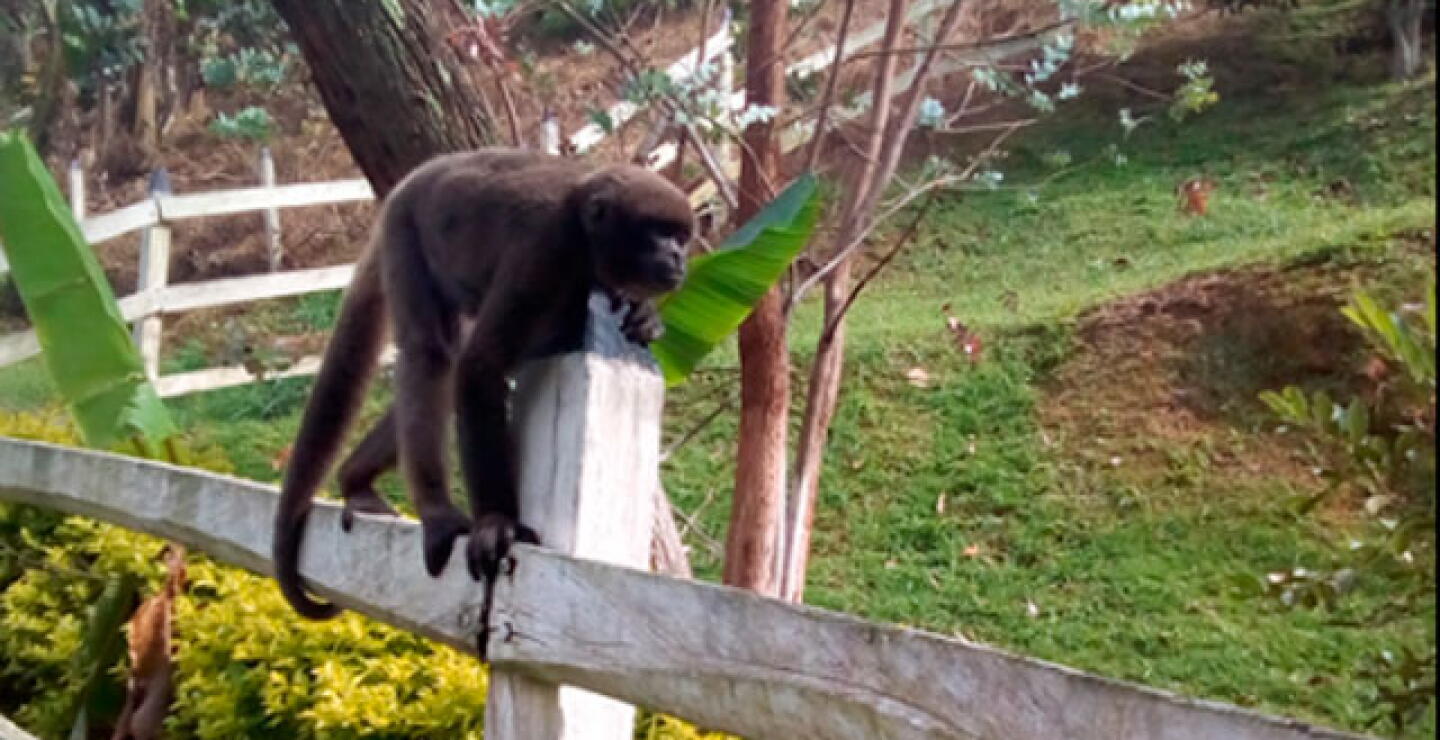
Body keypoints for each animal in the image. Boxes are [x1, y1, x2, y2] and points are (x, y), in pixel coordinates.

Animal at [273, 149, 693, 619]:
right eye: (659, 233)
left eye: (681, 237)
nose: (679, 257)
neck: (585, 233)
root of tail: (415, 176)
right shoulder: (544, 250)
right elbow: (479, 366)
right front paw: (496, 522)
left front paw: (646, 315)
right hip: (405, 228)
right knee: (430, 353)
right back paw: (435, 512)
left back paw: (353, 481)